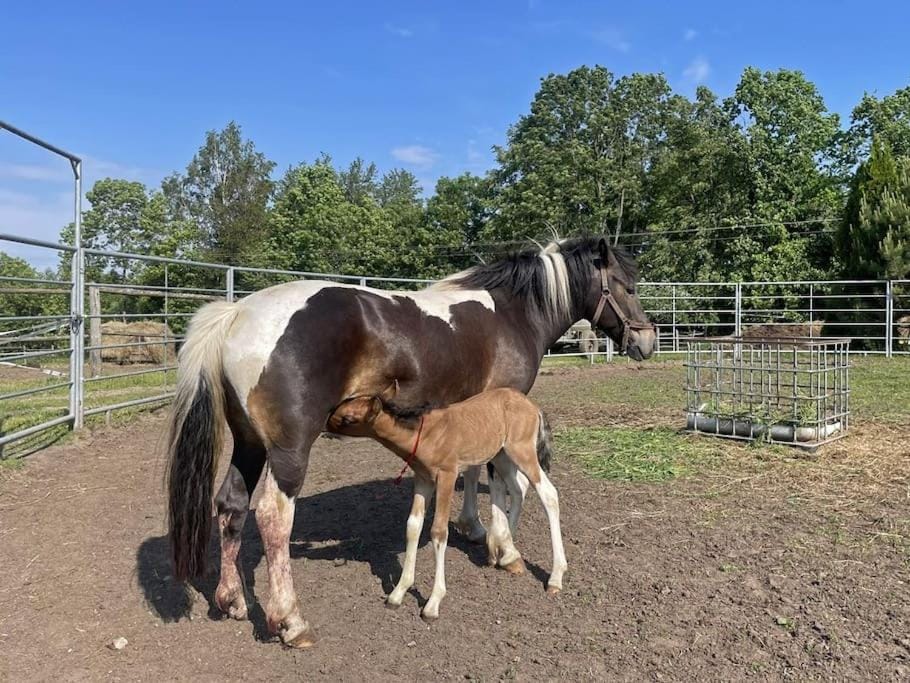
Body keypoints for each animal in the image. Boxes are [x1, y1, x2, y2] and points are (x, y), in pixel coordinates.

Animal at [328, 385, 566, 621]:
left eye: (348, 418)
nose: (326, 425)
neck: (425, 434)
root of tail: (533, 406)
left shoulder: (447, 476)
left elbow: (439, 532)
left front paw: (432, 604)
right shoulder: (423, 479)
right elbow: (413, 526)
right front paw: (397, 594)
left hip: (522, 451)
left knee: (548, 494)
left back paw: (554, 577)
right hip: (501, 455)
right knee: (518, 489)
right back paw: (507, 553)